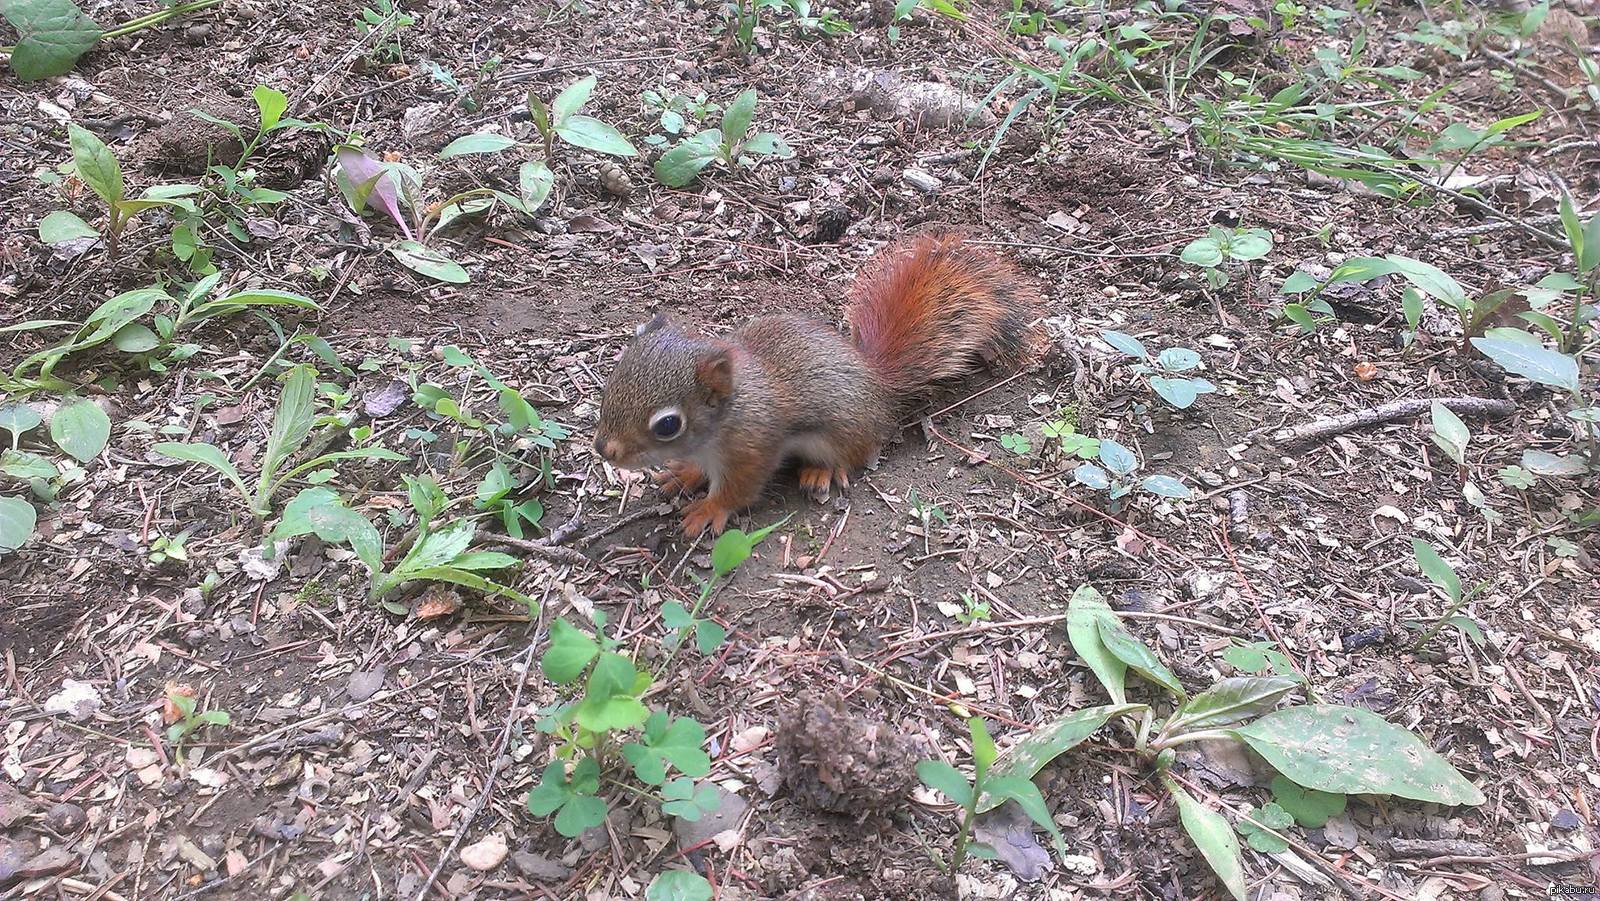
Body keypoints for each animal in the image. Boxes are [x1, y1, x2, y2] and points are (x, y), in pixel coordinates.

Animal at [598, 232, 1036, 534]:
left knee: (854, 455)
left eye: (668, 425)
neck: (730, 412)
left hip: (841, 434)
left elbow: (737, 490)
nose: (604, 450)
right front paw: (683, 474)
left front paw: (708, 509)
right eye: (612, 381)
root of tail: (877, 383)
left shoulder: (752, 450)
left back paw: (820, 473)